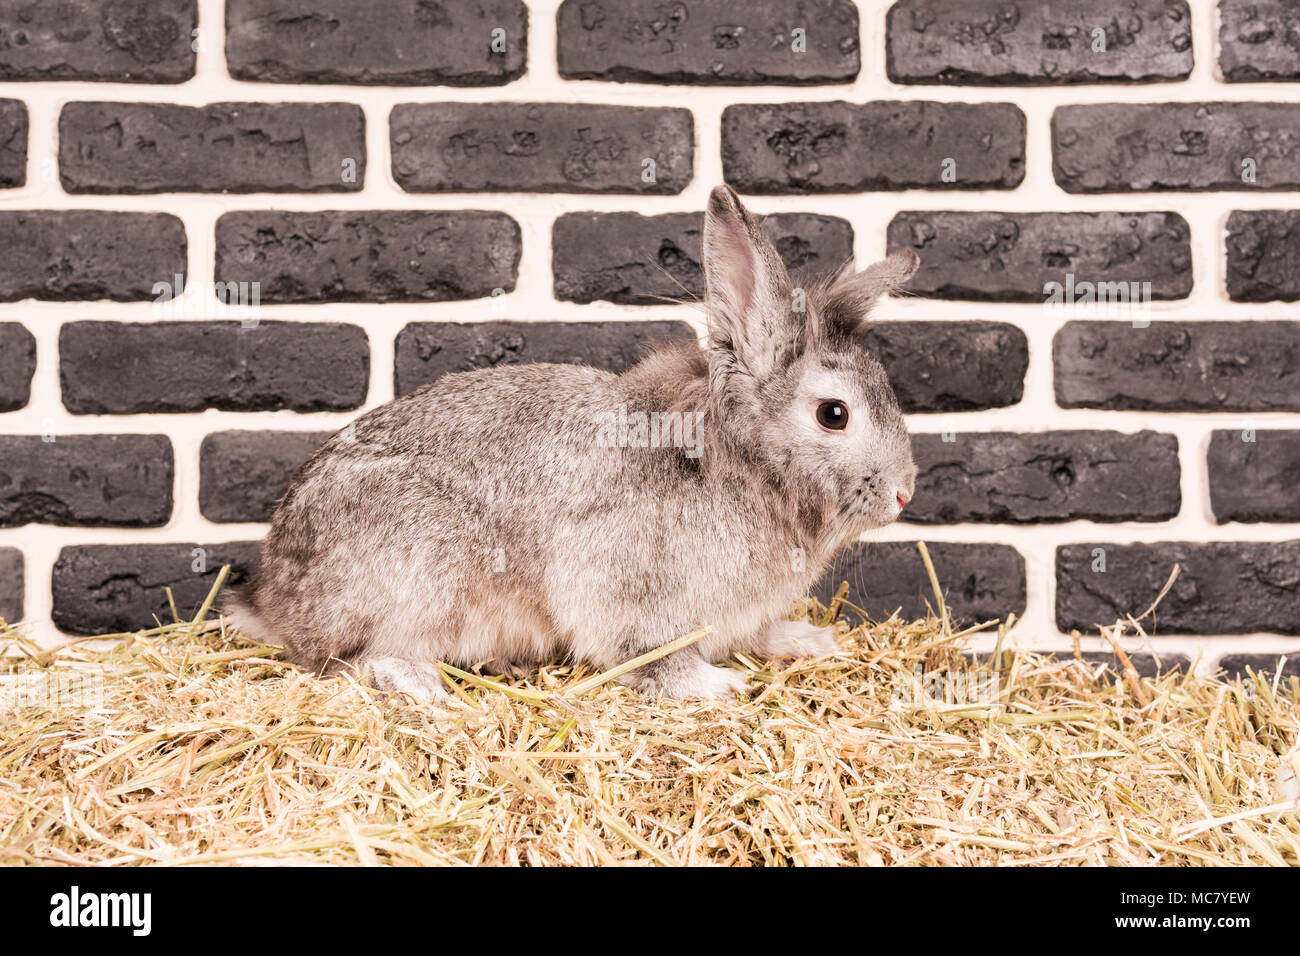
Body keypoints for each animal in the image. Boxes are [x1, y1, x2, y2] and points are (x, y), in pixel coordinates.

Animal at [223, 185, 920, 702]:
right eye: (834, 414)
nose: (906, 493)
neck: (735, 464)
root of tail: (273, 594)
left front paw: (809, 642)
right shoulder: (626, 594)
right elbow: (652, 657)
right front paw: (717, 684)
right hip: (418, 573)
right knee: (354, 659)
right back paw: (424, 686)